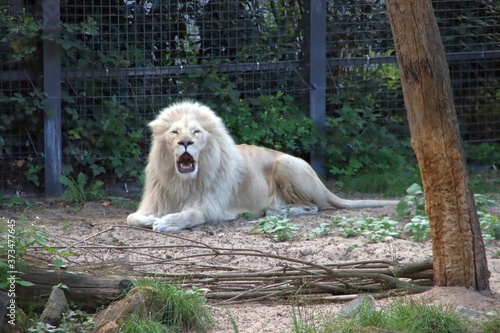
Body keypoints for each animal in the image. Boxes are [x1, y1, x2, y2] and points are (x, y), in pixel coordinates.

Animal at [126, 100, 398, 232]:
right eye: (174, 132)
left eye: (196, 132)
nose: (185, 142)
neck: (182, 182)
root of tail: (323, 186)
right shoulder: (156, 200)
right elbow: (131, 217)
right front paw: (152, 220)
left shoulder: (211, 207)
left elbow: (189, 214)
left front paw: (167, 223)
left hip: (285, 162)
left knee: (313, 207)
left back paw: (274, 211)